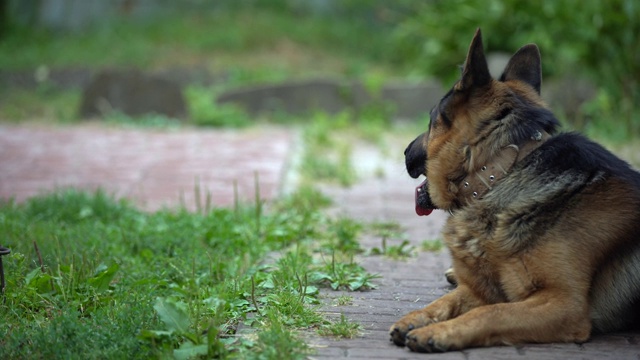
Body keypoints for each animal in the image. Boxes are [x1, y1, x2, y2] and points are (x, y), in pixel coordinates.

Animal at [390, 30, 640, 352]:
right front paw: (416, 319)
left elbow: (491, 312)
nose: (406, 151)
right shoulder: (486, 290)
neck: (503, 170)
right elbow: (447, 301)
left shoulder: (564, 304)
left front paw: (437, 332)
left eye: (432, 120)